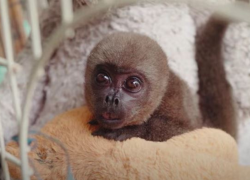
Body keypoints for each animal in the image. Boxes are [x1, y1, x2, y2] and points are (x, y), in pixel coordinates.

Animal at [84, 14, 236, 141]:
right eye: (102, 78)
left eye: (132, 84)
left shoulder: (175, 99)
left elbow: (187, 133)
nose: (111, 99)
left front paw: (132, 130)